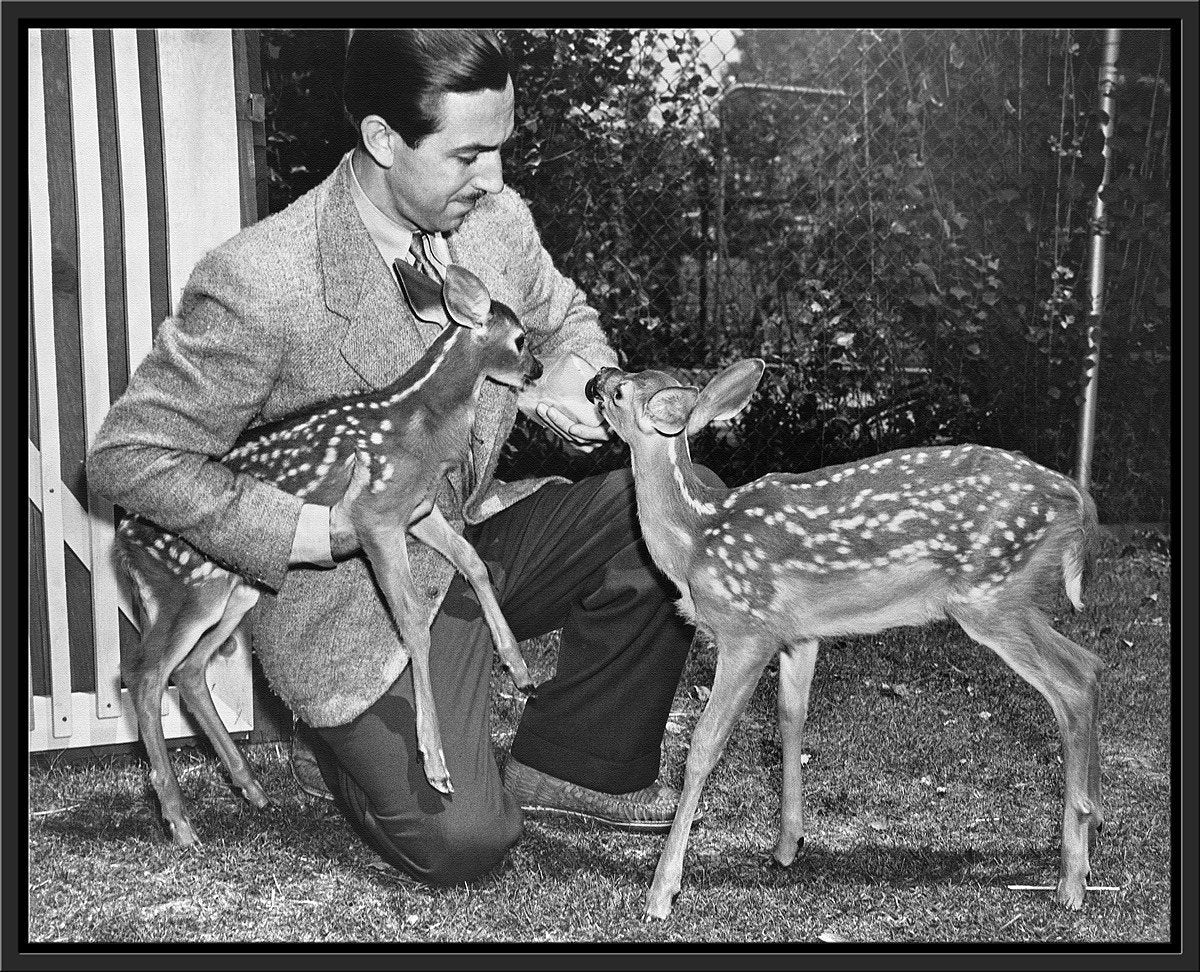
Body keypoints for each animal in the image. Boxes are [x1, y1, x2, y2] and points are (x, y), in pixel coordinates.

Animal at [114, 261, 542, 847]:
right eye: (520, 340)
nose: (538, 369)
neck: (423, 417)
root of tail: (122, 543)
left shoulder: (417, 510)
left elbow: (472, 562)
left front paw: (519, 668)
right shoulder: (374, 515)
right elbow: (413, 622)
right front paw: (434, 763)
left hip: (236, 591)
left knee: (191, 670)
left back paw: (251, 789)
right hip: (184, 591)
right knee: (144, 674)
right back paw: (180, 822)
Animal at [583, 358, 1104, 919]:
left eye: (619, 391)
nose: (595, 379)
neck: (695, 540)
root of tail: (1075, 498)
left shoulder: (748, 629)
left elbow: (704, 743)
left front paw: (661, 892)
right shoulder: (799, 633)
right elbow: (790, 718)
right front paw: (788, 844)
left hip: (989, 596)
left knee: (1072, 683)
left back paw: (1071, 880)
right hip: (1011, 598)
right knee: (1090, 664)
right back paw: (1093, 831)